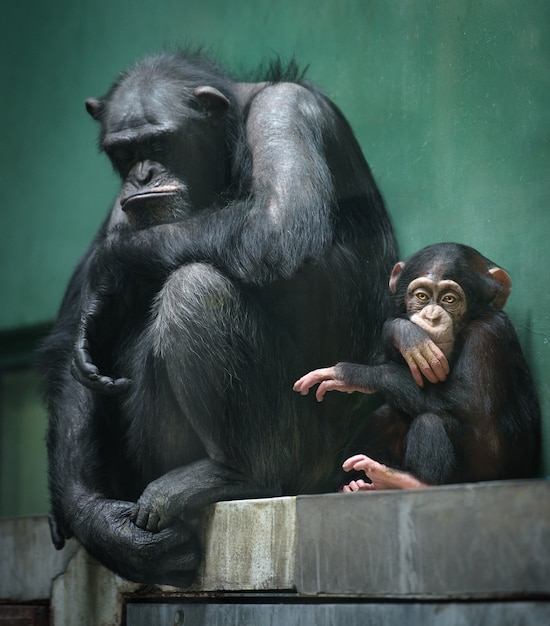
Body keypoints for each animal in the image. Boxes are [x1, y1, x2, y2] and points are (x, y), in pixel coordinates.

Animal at [40, 50, 402, 584]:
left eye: (159, 143)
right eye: (123, 153)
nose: (142, 174)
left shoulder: (285, 111)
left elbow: (277, 228)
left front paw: (111, 270)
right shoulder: (123, 208)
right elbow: (73, 348)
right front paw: (105, 527)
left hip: (309, 460)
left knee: (196, 288)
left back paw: (238, 473)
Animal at [296, 241, 544, 490]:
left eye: (450, 299)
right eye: (422, 296)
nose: (432, 316)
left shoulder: (487, 335)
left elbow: (473, 404)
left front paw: (353, 373)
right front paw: (404, 333)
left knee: (430, 420)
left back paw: (409, 481)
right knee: (392, 412)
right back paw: (354, 484)